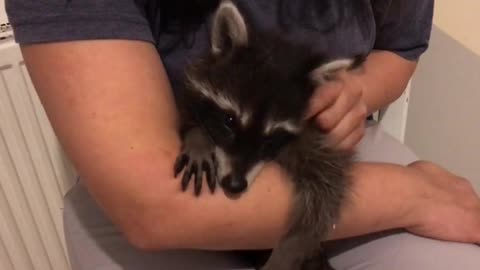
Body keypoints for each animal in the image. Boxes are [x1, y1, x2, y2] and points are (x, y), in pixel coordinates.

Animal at [172, 1, 364, 268]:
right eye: (229, 121)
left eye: (271, 139)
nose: (234, 185)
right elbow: (188, 114)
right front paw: (198, 138)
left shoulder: (316, 141)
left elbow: (328, 192)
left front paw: (289, 249)